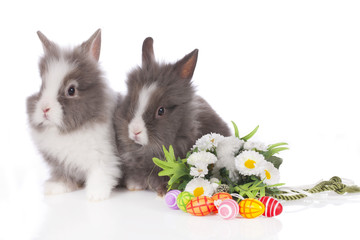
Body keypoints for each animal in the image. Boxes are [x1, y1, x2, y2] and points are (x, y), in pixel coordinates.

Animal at [26, 29, 121, 201]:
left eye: (71, 90)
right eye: (42, 86)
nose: (44, 109)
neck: (68, 132)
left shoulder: (104, 157)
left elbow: (101, 173)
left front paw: (96, 195)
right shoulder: (61, 162)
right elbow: (63, 174)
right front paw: (55, 188)